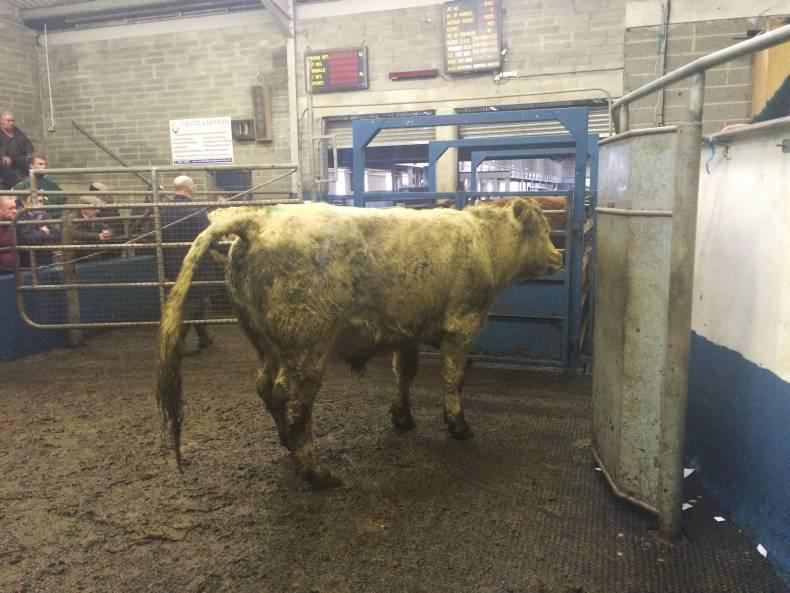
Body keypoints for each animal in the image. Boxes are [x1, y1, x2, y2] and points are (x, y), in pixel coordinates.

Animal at [156, 198, 563, 490]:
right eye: (544, 229)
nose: (559, 256)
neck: (484, 243)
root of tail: (257, 222)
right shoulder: (461, 326)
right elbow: (453, 380)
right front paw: (458, 425)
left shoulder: (407, 332)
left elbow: (405, 374)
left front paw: (402, 417)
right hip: (306, 349)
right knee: (293, 402)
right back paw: (315, 472)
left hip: (267, 346)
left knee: (266, 389)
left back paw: (288, 445)